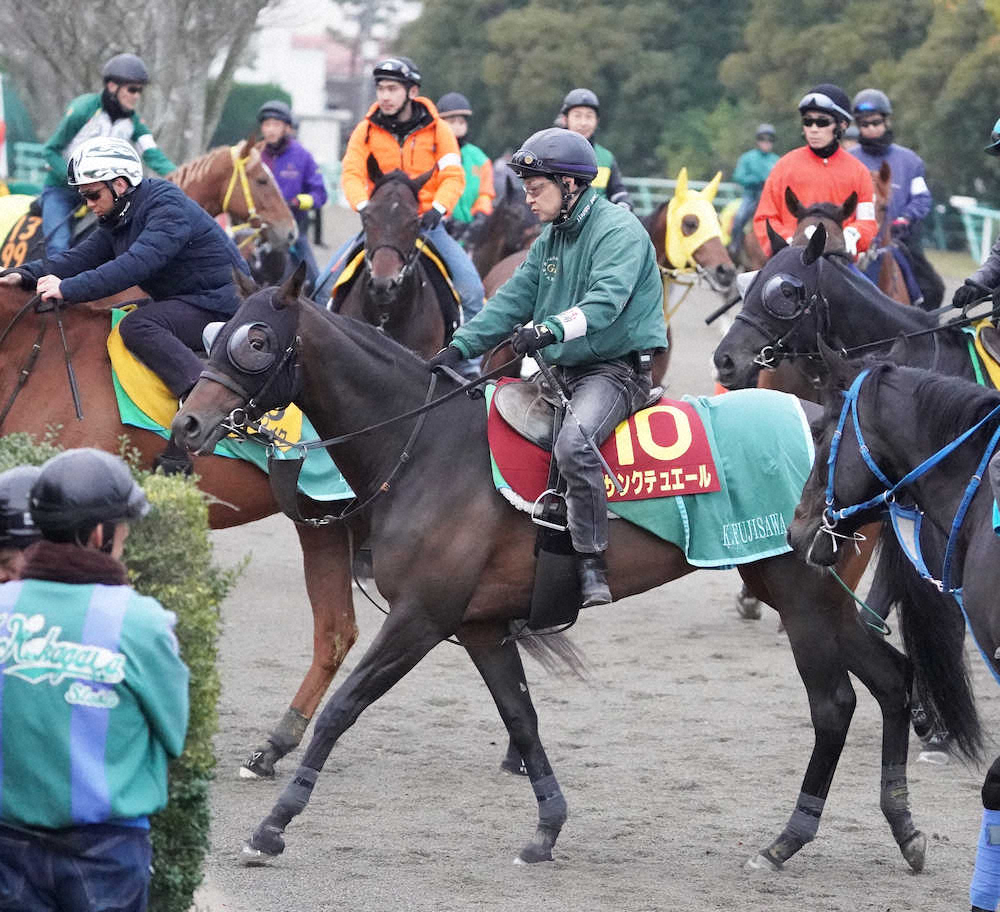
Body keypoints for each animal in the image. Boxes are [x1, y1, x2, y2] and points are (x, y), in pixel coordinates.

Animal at [171, 265, 941, 874]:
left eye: (256, 341)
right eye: (219, 332)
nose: (187, 425)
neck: (425, 447)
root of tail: (842, 425)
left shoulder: (421, 619)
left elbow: (341, 711)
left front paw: (273, 824)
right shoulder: (480, 627)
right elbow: (522, 718)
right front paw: (546, 828)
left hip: (802, 597)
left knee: (834, 705)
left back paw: (788, 839)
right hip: (812, 595)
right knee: (892, 678)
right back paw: (903, 825)